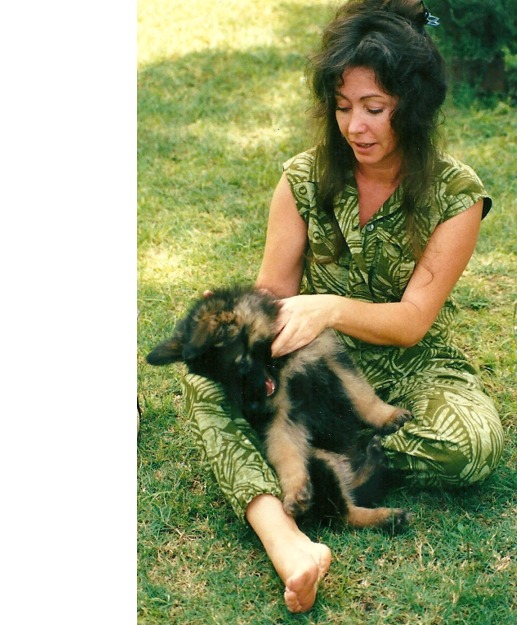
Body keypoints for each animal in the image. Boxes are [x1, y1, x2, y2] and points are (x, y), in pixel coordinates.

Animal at [147, 286, 414, 528]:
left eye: (241, 364)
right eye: (220, 379)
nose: (252, 409)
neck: (276, 363)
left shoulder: (331, 359)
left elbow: (362, 394)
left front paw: (388, 415)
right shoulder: (281, 413)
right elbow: (283, 449)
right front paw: (294, 490)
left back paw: (376, 463)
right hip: (319, 461)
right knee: (344, 514)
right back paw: (387, 513)